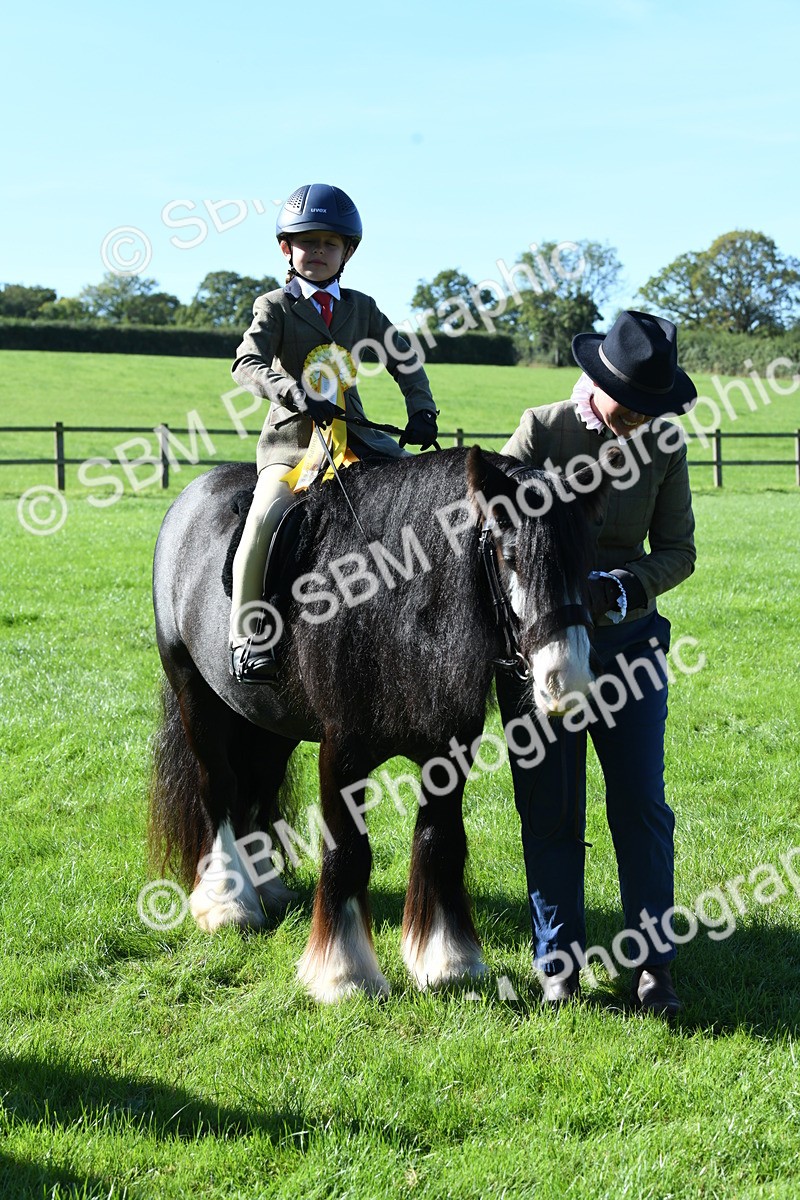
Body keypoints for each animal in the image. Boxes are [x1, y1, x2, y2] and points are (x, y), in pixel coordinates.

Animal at [149, 445, 615, 1002]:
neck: (389, 608)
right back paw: (228, 902)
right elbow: (349, 850)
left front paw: (448, 959)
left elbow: (440, 840)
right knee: (218, 786)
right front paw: (344, 972)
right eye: (509, 556)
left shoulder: (449, 751)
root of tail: (192, 497)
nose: (567, 679)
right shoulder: (341, 753)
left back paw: (262, 885)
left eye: (585, 561)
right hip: (195, 695)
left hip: (269, 723)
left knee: (256, 787)